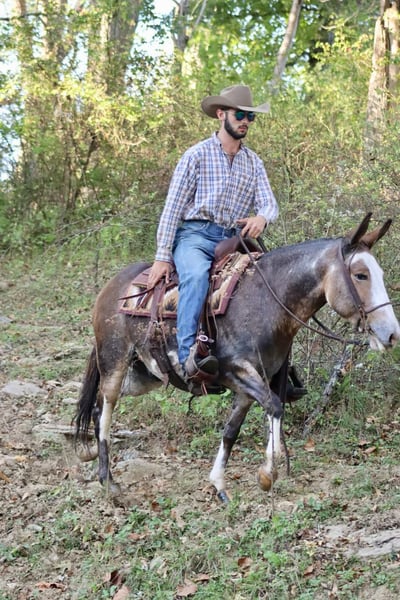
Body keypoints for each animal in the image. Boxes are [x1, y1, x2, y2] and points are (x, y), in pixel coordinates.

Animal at [75, 213, 400, 501]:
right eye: (360, 275)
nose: (391, 334)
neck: (265, 302)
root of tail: (110, 288)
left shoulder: (248, 386)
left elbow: (231, 431)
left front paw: (219, 485)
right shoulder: (237, 372)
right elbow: (275, 406)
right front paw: (267, 474)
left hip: (144, 375)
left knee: (98, 406)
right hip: (114, 362)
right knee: (106, 410)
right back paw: (109, 484)